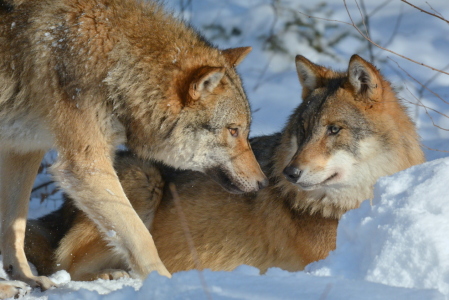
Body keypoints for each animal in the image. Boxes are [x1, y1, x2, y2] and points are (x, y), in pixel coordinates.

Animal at [0, 0, 266, 296]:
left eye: (245, 131)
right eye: (233, 130)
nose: (263, 183)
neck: (115, 65)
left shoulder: (24, 149)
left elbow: (14, 226)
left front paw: (25, 277)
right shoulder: (85, 165)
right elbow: (140, 236)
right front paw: (166, 284)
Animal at [23, 54, 424, 282]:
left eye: (334, 130)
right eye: (302, 130)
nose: (289, 174)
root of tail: (60, 211)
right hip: (143, 180)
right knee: (66, 267)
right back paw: (118, 277)